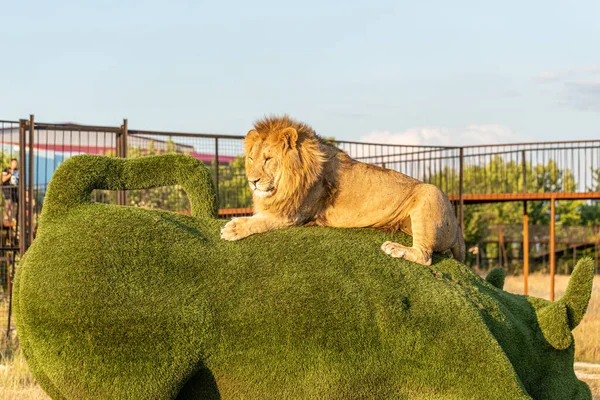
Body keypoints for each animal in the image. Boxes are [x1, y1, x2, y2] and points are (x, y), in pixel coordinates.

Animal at [220, 115, 464, 266]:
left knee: (425, 256)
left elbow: (263, 221)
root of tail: (458, 228)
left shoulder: (294, 214)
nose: (252, 181)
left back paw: (395, 248)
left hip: (430, 193)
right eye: (251, 158)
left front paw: (233, 228)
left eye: (268, 159)